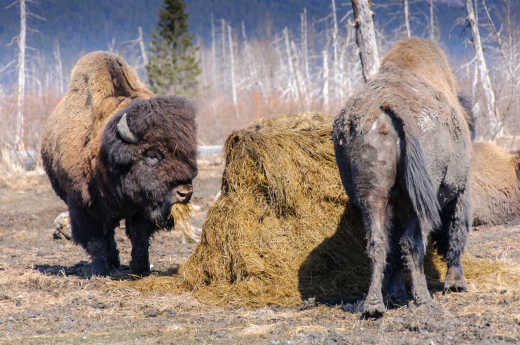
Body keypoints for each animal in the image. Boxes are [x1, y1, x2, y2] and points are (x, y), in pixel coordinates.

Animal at [41, 51, 197, 276]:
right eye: (152, 155)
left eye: (188, 153)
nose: (184, 192)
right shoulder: (84, 207)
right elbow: (96, 240)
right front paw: (100, 271)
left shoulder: (141, 208)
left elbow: (139, 237)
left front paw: (140, 268)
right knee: (107, 235)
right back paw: (110, 263)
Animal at [332, 38, 474, 318]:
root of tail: (387, 105)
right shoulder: (460, 191)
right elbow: (455, 233)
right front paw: (455, 283)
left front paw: (395, 294)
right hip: (418, 199)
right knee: (412, 243)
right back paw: (423, 300)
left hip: (372, 195)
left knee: (379, 243)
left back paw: (375, 305)